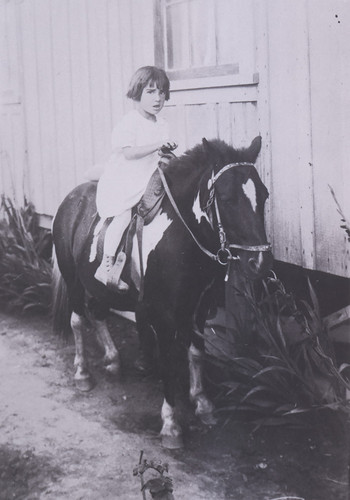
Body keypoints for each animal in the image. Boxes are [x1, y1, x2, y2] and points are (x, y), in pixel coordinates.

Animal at [51, 137, 274, 450]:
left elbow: (196, 352)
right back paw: (82, 373)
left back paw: (113, 360)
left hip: (99, 287)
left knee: (97, 313)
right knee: (78, 320)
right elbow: (169, 360)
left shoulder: (199, 306)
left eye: (263, 196)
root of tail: (71, 197)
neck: (182, 235)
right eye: (227, 198)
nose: (260, 263)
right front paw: (171, 425)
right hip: (72, 278)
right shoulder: (165, 314)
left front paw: (202, 403)